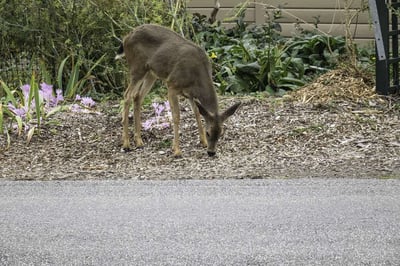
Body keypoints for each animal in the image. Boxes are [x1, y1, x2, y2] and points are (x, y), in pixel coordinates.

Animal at [115, 23, 241, 157]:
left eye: (221, 133)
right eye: (208, 132)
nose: (211, 152)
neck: (196, 76)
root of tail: (126, 38)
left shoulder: (191, 94)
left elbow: (197, 113)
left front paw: (203, 142)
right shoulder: (172, 85)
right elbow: (176, 116)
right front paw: (176, 150)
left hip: (151, 73)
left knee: (137, 96)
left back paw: (138, 141)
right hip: (137, 67)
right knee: (127, 95)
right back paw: (126, 144)